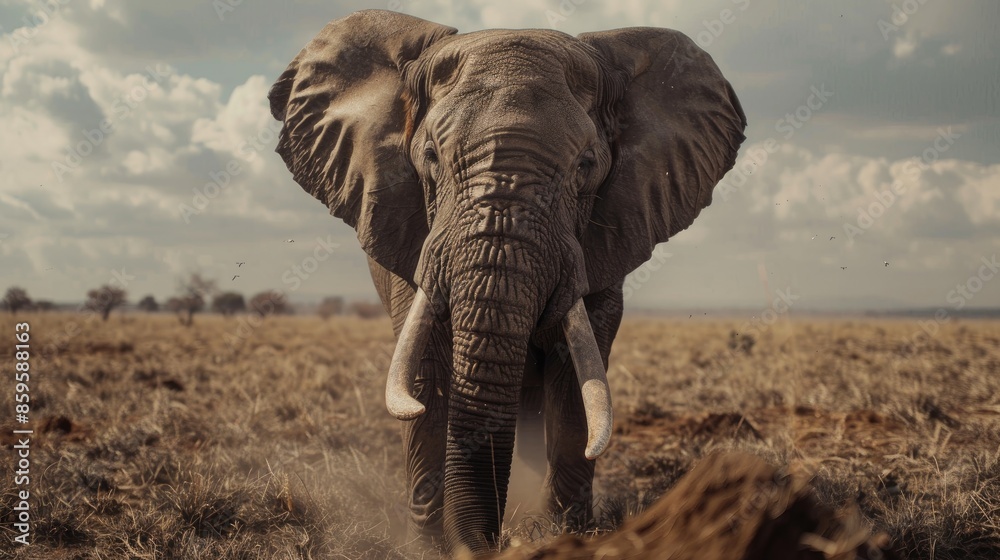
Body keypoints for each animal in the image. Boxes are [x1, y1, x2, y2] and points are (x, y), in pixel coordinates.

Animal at [268, 9, 746, 555]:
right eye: (431, 156)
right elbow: (426, 372)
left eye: (585, 166)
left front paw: (564, 534)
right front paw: (430, 547)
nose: (485, 543)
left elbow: (577, 374)